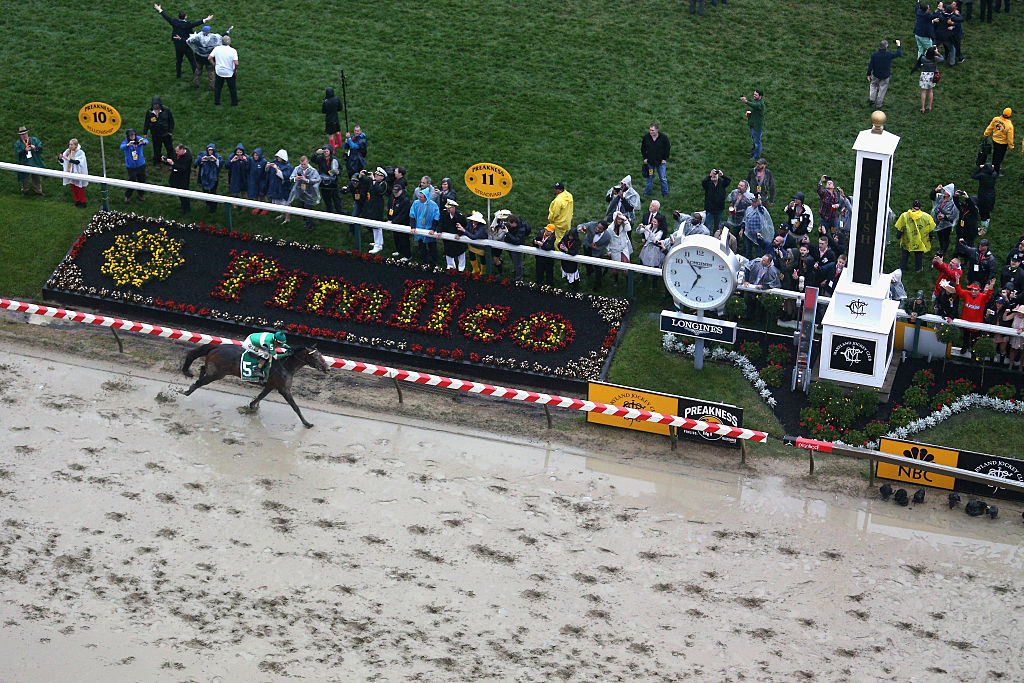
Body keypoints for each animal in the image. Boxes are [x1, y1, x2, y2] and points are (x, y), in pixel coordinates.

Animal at [181, 348, 327, 428]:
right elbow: (295, 407)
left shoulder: (270, 385)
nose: (327, 367)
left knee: (202, 368)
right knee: (200, 382)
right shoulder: (283, 389)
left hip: (214, 371)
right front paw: (307, 423)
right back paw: (187, 391)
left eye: (321, 355)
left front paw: (251, 407)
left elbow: (260, 396)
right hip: (217, 373)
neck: (286, 365)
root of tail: (217, 347)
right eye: (316, 356)